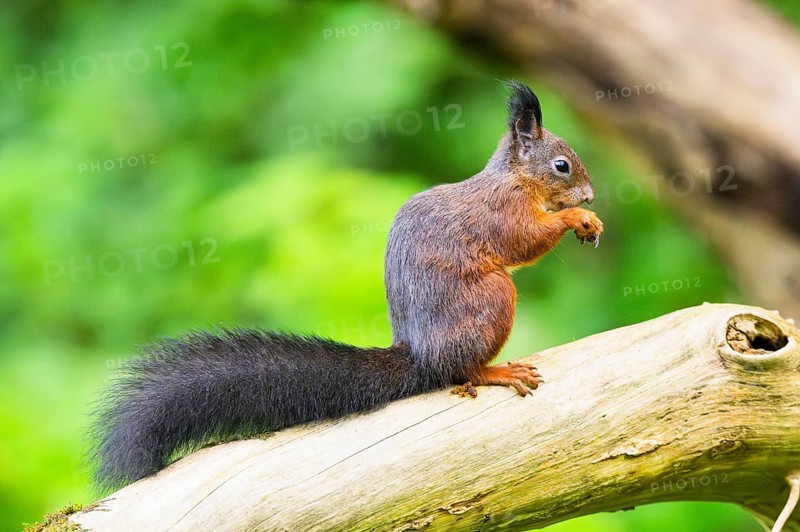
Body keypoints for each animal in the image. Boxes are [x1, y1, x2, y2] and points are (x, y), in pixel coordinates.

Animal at [89, 81, 603, 491]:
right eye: (562, 165)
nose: (592, 195)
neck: (515, 179)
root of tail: (419, 355)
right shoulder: (502, 212)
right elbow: (525, 240)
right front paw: (577, 218)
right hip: (492, 298)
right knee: (458, 371)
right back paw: (495, 372)